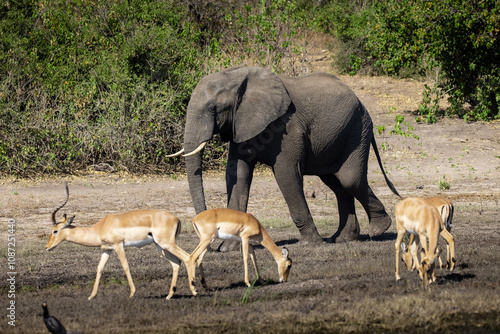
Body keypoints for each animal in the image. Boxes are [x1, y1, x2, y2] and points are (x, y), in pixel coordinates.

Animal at [170, 66, 400, 248]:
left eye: (213, 109)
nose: (210, 244)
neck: (238, 78)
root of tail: (361, 101)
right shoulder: (241, 124)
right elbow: (237, 176)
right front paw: (227, 249)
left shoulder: (288, 128)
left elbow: (286, 174)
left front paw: (309, 244)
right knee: (337, 184)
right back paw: (343, 239)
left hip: (356, 131)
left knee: (349, 180)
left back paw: (378, 230)